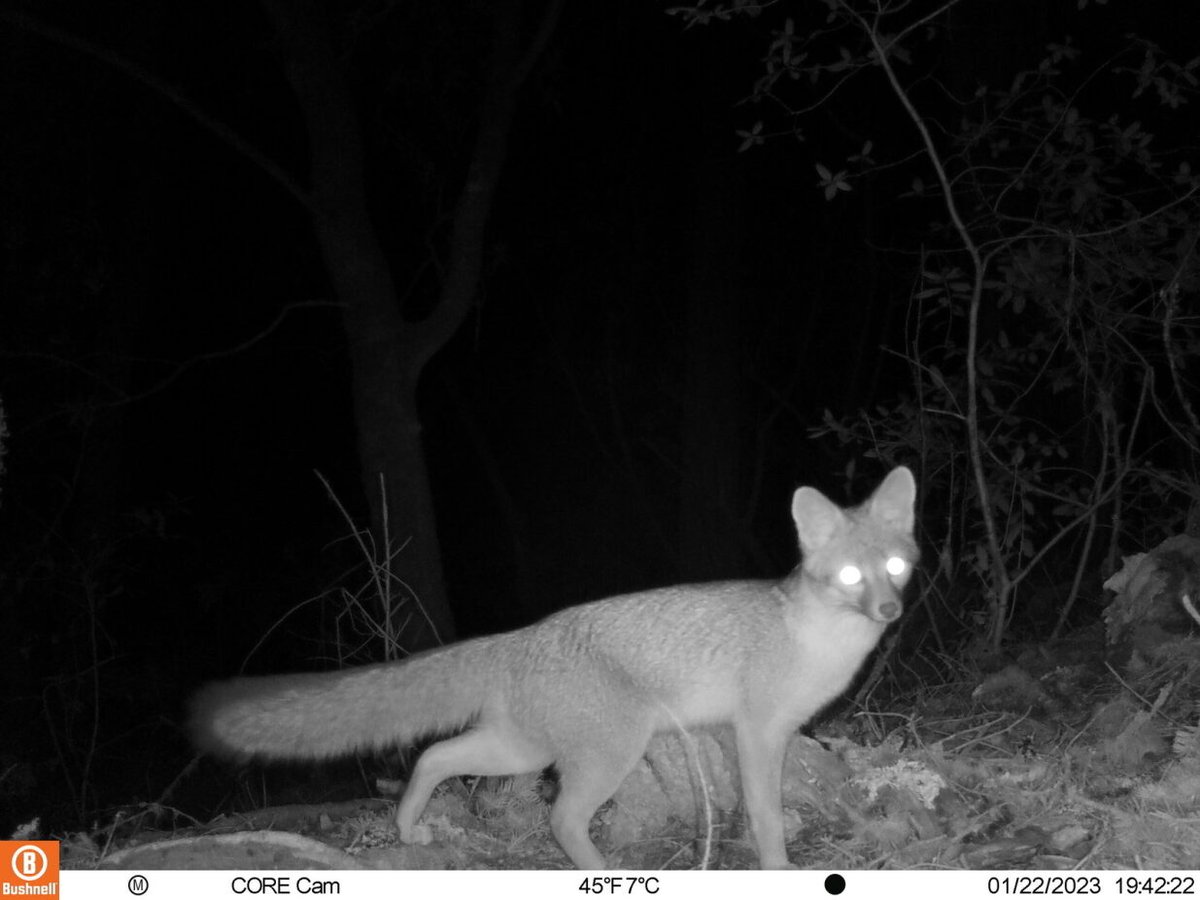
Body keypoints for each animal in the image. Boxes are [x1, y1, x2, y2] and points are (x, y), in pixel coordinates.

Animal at [187, 465, 916, 868]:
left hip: (521, 751)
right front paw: (778, 868)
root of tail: (522, 634)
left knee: (433, 757)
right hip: (605, 754)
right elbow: (765, 813)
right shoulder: (757, 731)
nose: (890, 609)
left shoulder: (765, 732)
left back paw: (408, 828)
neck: (812, 639)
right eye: (850, 576)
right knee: (561, 819)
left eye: (895, 566)